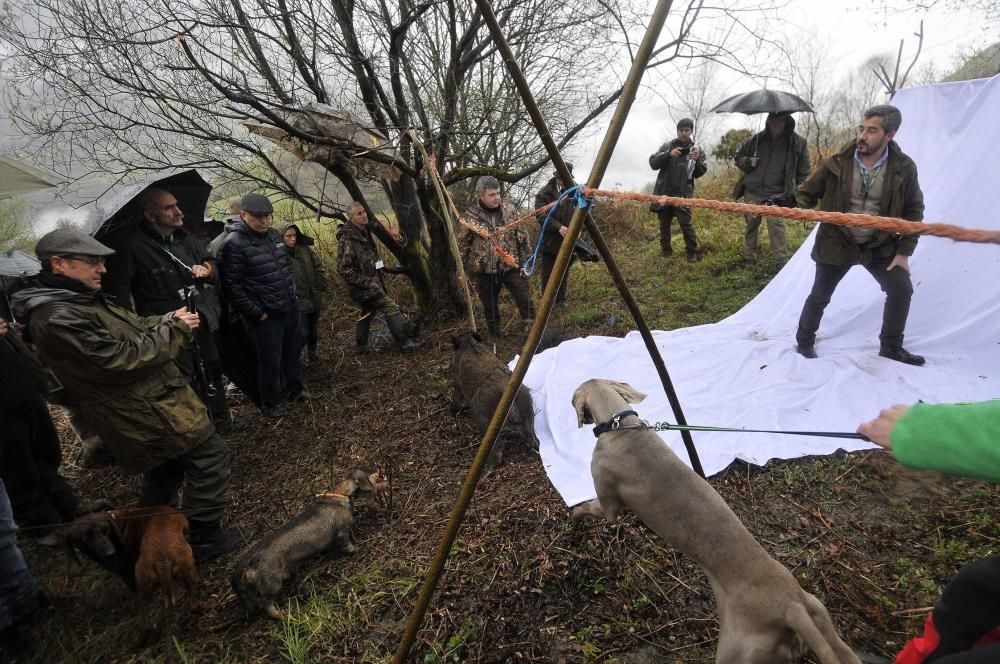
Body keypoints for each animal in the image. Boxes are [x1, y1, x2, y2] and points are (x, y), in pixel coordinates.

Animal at [232, 470, 384, 620]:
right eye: (372, 479)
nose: (381, 483)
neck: (340, 495)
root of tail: (248, 563)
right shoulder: (342, 532)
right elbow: (346, 544)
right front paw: (355, 549)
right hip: (272, 584)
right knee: (267, 605)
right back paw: (281, 614)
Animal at [572, 378, 860, 664]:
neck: (622, 429)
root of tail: (791, 606)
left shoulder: (609, 504)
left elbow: (591, 508)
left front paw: (575, 514)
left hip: (736, 648)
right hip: (823, 621)